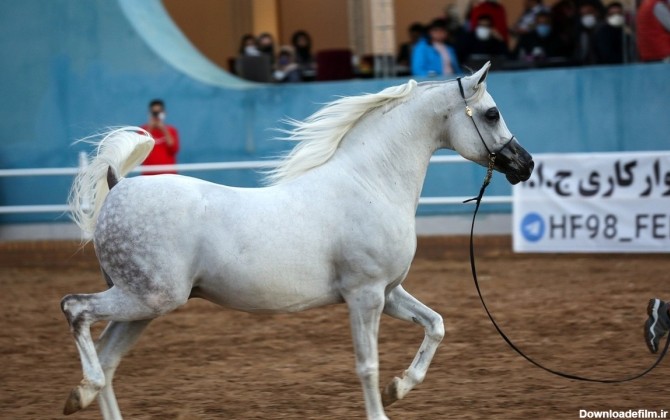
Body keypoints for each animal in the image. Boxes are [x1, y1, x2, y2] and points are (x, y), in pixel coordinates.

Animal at [63, 63, 536, 420]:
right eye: (492, 113)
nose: (525, 164)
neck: (370, 183)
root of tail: (119, 185)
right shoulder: (365, 296)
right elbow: (367, 365)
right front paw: (383, 403)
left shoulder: (388, 292)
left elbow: (435, 325)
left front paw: (399, 387)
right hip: (150, 298)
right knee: (76, 312)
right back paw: (80, 390)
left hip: (141, 305)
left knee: (107, 360)